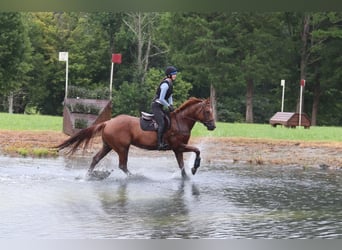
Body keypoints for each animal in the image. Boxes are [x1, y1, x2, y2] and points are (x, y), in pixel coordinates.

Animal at [56, 96, 216, 179]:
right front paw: (194, 168)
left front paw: (187, 177)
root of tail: (108, 122)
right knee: (122, 165)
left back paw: (88, 176)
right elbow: (197, 150)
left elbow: (182, 167)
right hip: (122, 148)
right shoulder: (178, 146)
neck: (181, 121)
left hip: (108, 146)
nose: (213, 126)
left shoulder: (177, 150)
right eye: (208, 111)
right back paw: (134, 177)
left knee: (96, 159)